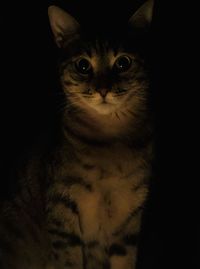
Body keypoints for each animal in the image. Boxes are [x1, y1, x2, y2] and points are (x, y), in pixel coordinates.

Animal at [0, 1, 154, 266]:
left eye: (122, 62)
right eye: (83, 65)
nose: (103, 89)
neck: (110, 142)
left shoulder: (129, 220)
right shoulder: (63, 212)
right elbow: (68, 260)